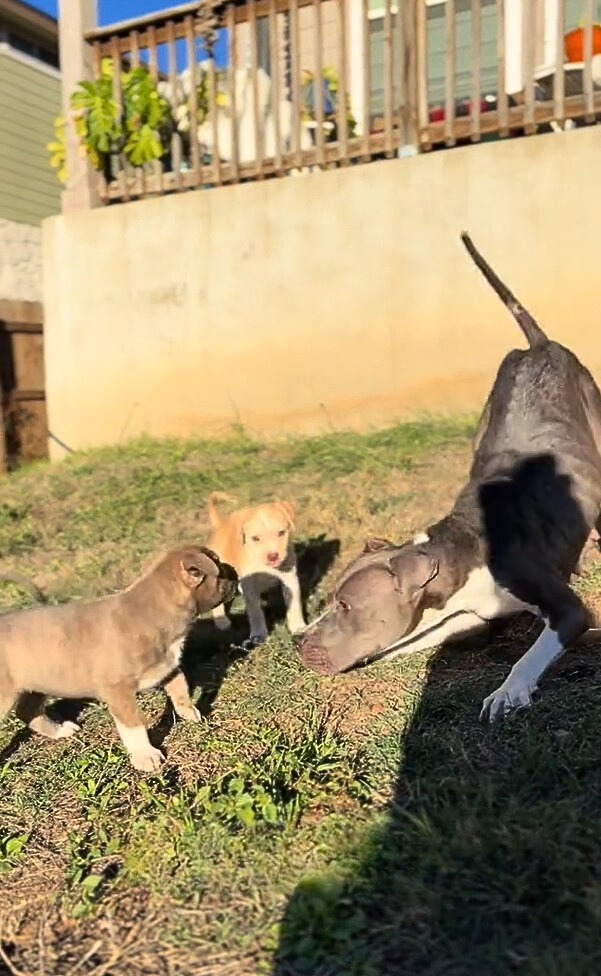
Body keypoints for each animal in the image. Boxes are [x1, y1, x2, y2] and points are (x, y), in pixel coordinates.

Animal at [0, 548, 237, 772]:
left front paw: (191, 713)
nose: (233, 568)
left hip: (36, 684)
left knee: (27, 712)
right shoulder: (118, 691)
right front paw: (145, 755)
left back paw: (59, 731)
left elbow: (181, 691)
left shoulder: (169, 667)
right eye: (218, 566)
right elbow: (134, 727)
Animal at [207, 492, 308, 644]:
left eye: (281, 533)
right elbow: (255, 611)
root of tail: (221, 525)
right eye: (255, 538)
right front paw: (259, 635)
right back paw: (222, 622)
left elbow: (294, 604)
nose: (273, 556)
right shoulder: (250, 587)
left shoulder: (290, 579)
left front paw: (298, 627)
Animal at [300, 233, 601, 720]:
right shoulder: (461, 618)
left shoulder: (567, 610)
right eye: (329, 602)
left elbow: (530, 654)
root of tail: (537, 346)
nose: (299, 642)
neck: (461, 553)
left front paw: (508, 692)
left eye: (345, 605)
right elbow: (410, 639)